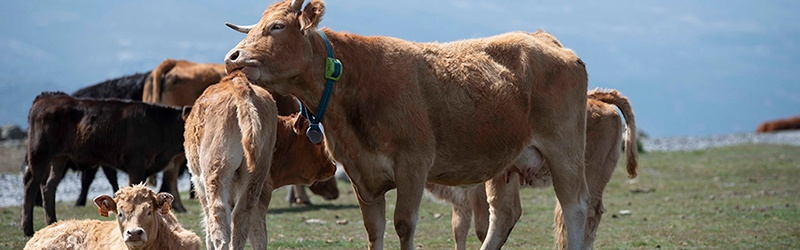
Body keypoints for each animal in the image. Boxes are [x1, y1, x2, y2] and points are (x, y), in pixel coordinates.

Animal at [22, 92, 188, 236]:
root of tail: (46, 97)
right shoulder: (136, 164)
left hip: (59, 158)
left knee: (49, 186)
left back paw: (52, 223)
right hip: (39, 154)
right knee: (31, 184)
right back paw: (28, 229)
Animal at [185, 71, 338, 249]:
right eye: (318, 141)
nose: (333, 166)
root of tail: (239, 82)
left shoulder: (199, 184)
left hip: (216, 172)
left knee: (219, 217)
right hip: (255, 176)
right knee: (243, 218)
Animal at [222, 0, 592, 249]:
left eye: (277, 26)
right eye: (254, 28)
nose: (232, 58)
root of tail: (542, 38)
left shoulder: (413, 164)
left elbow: (403, 224)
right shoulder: (361, 173)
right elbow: (374, 230)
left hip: (565, 151)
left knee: (575, 207)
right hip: (506, 164)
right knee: (504, 214)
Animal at [424, 89, 636, 249]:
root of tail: (597, 98)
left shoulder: (478, 193)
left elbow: (482, 227)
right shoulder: (461, 202)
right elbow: (459, 230)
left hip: (590, 173)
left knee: (589, 213)